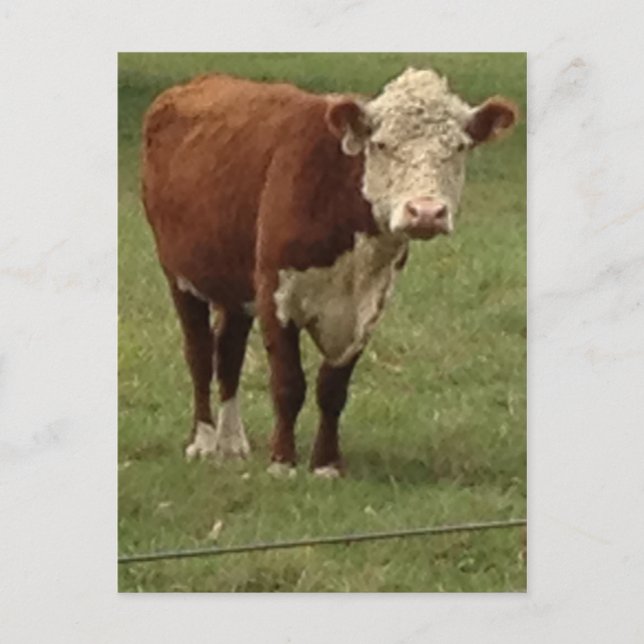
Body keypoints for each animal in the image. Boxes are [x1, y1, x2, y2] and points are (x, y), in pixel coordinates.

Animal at [141, 67, 518, 478]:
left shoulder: (367, 305)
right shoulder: (274, 291)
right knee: (199, 354)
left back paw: (232, 441)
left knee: (229, 353)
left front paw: (325, 464)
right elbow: (288, 383)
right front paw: (282, 463)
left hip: (234, 285)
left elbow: (332, 388)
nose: (426, 212)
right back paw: (204, 441)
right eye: (381, 145)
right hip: (179, 274)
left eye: (459, 148)